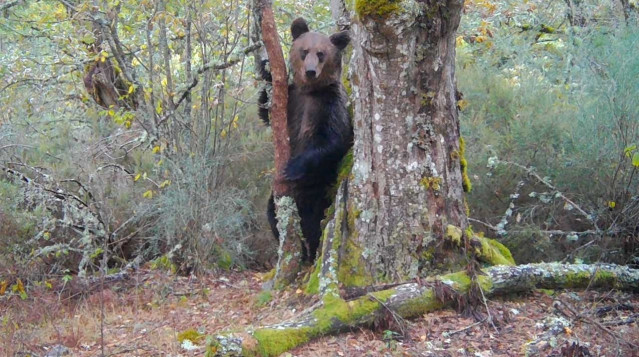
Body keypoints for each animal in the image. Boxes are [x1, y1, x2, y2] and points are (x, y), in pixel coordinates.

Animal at [258, 18, 352, 260]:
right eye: (304, 51)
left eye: (321, 53)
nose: (310, 71)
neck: (310, 92)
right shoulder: (292, 100)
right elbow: (265, 113)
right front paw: (266, 69)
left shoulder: (330, 105)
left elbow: (332, 141)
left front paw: (292, 167)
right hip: (279, 198)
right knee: (272, 212)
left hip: (320, 189)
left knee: (315, 221)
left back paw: (309, 253)